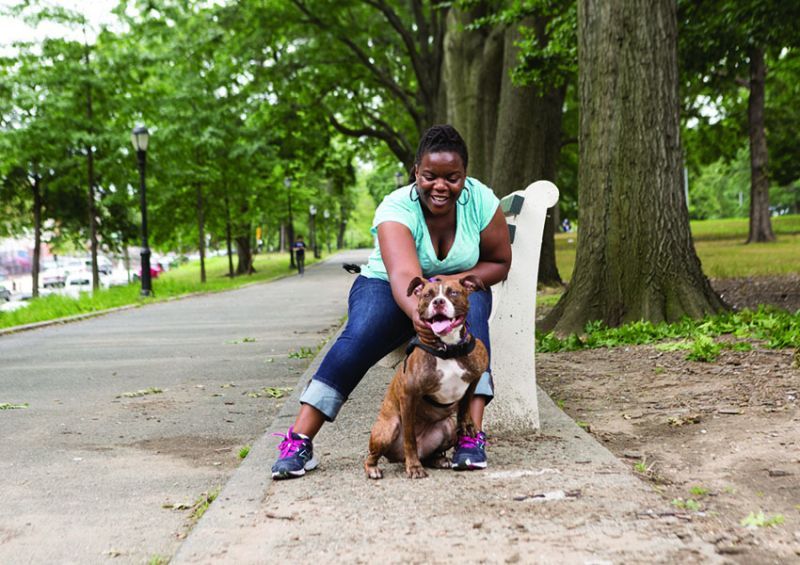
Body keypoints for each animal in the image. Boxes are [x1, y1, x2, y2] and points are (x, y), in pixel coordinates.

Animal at [364, 276, 488, 478]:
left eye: (453, 292)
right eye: (427, 295)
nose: (438, 302)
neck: (448, 348)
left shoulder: (475, 376)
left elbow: (465, 403)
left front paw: (467, 424)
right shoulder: (408, 396)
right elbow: (409, 438)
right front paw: (414, 467)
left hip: (447, 427)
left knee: (432, 453)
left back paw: (439, 460)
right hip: (387, 429)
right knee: (373, 454)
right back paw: (373, 468)